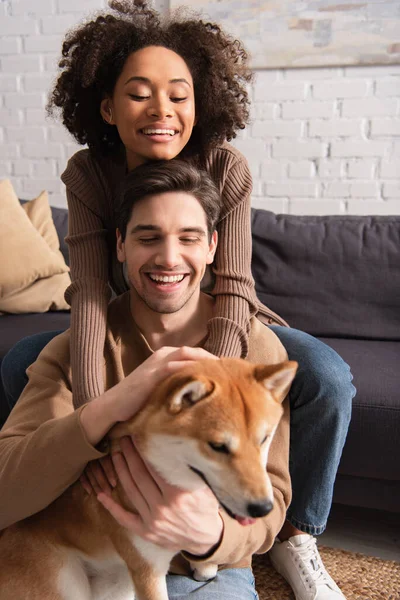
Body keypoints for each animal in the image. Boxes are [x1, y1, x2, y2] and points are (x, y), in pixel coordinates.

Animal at [0, 358, 296, 596]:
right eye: (218, 446)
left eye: (264, 439)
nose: (263, 508)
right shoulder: (147, 570)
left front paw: (205, 565)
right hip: (67, 581)